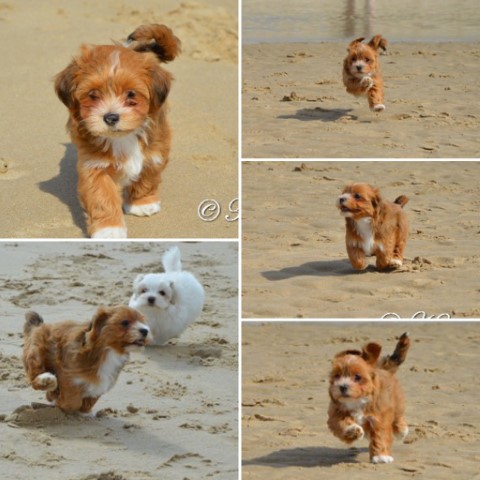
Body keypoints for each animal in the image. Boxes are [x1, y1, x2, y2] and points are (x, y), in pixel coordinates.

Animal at [21, 308, 150, 412]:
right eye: (125, 322)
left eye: (143, 321)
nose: (145, 330)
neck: (107, 352)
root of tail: (38, 325)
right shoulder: (70, 378)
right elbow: (72, 402)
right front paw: (59, 401)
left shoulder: (101, 384)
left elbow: (87, 404)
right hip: (36, 352)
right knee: (35, 376)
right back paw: (46, 380)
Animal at [326, 332, 408, 464]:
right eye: (337, 376)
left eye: (357, 377)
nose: (342, 386)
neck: (357, 400)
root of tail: (383, 368)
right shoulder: (336, 412)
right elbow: (341, 423)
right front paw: (352, 431)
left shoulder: (379, 417)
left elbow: (381, 435)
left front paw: (381, 456)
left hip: (397, 401)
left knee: (398, 417)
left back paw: (402, 431)